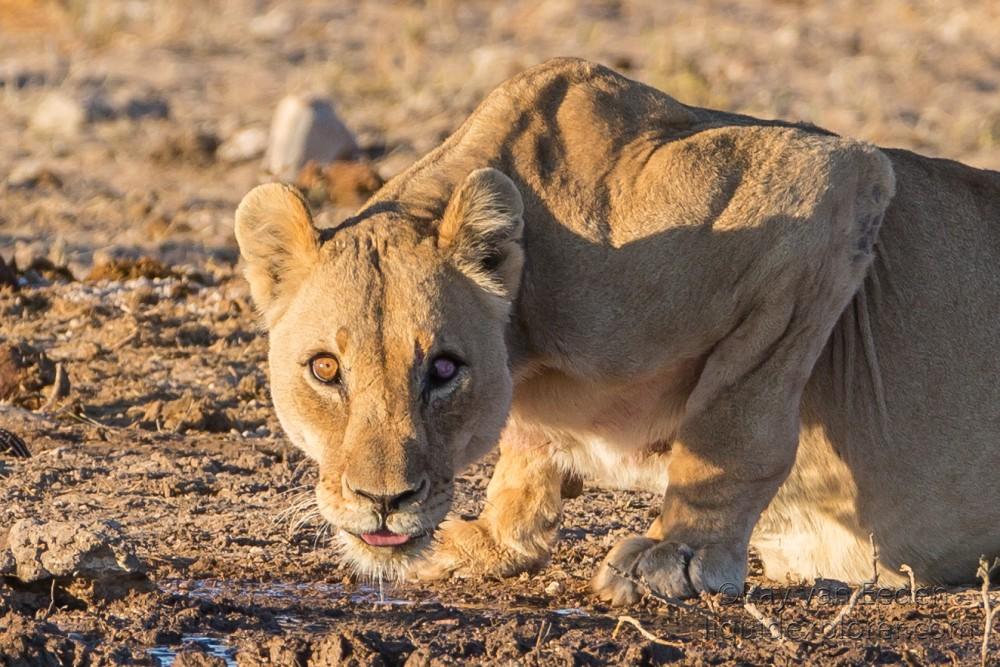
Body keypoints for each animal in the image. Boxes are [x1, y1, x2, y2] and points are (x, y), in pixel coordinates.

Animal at [232, 57, 1000, 604]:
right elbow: (526, 458)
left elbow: (732, 422)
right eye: (325, 369)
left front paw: (679, 556)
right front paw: (488, 539)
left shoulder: (829, 184)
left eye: (444, 369)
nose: (383, 502)